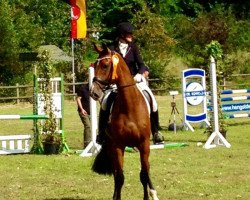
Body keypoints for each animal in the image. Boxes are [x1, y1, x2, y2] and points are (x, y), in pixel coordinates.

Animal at [90, 43, 159, 200]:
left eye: (105, 65)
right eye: (94, 65)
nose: (93, 93)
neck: (130, 105)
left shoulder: (144, 145)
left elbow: (144, 175)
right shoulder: (117, 146)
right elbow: (120, 177)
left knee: (147, 170)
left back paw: (153, 193)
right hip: (110, 147)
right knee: (116, 175)